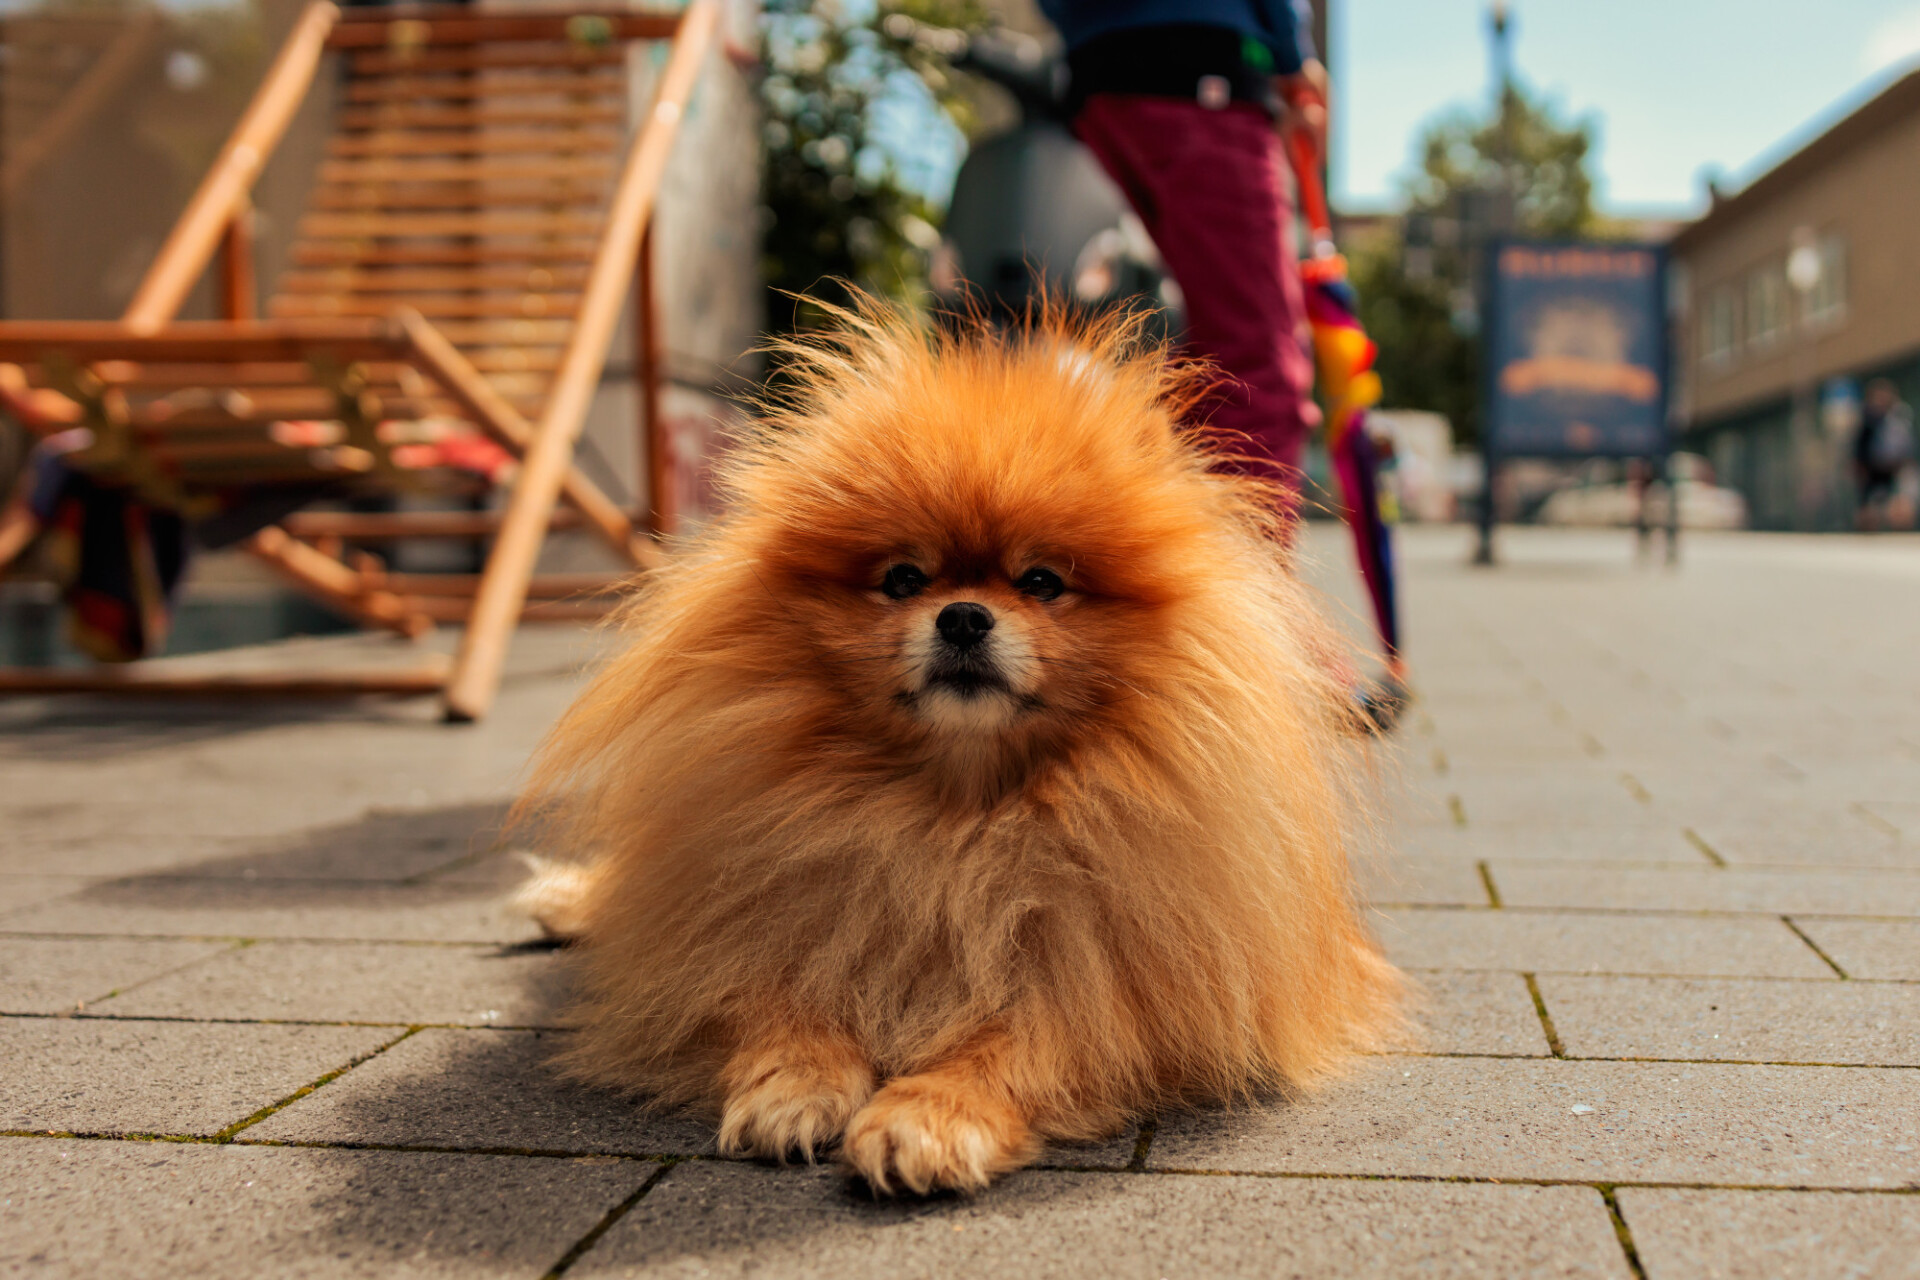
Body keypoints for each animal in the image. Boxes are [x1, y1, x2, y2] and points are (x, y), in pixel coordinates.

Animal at [518, 305, 1405, 1197]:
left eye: (1042, 582)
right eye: (904, 579)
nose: (965, 616)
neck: (958, 818)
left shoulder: (1124, 985)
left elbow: (1027, 1040)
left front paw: (930, 1117)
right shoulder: (771, 918)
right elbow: (775, 994)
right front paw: (793, 1082)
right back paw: (565, 901)